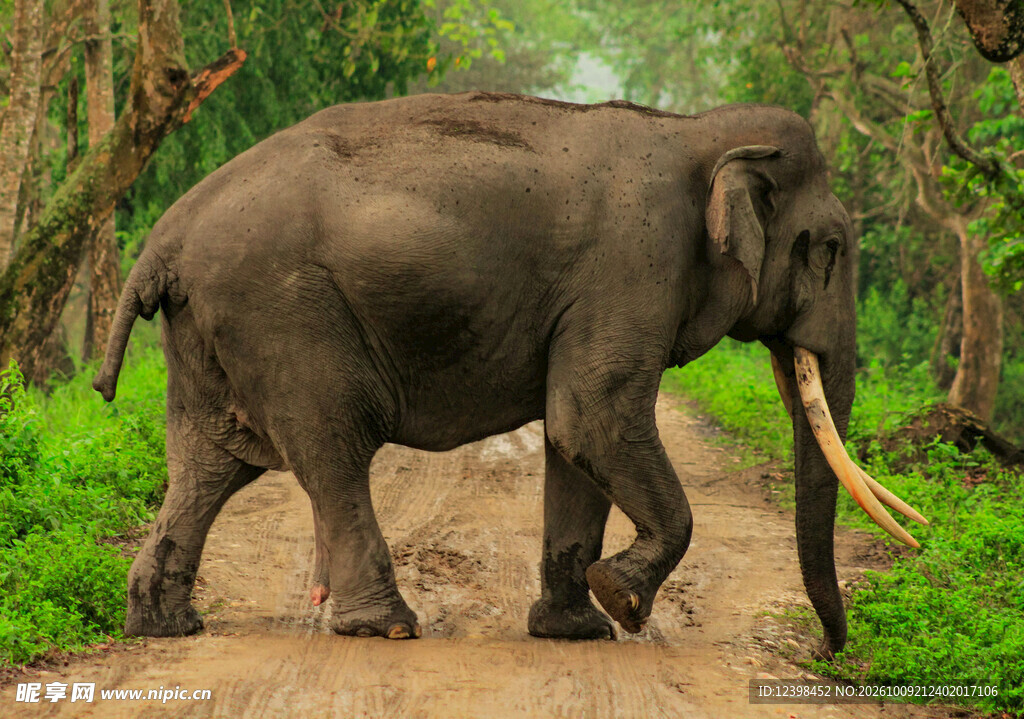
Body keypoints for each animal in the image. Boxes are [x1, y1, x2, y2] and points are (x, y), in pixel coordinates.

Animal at [94, 91, 925, 659]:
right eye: (830, 249)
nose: (827, 649)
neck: (698, 128)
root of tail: (164, 239)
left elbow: (573, 437)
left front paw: (575, 630)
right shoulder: (635, 266)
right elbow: (592, 417)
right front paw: (622, 601)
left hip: (209, 330)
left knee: (209, 463)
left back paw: (165, 624)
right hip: (284, 315)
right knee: (333, 448)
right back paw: (388, 627)